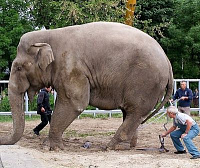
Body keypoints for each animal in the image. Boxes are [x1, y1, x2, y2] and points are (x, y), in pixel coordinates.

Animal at [0, 22, 173, 150]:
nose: (2, 141)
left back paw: (111, 147)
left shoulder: (72, 68)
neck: (49, 35)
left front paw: (50, 147)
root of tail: (167, 60)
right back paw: (128, 146)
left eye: (18, 68)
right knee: (130, 113)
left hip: (145, 83)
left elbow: (75, 103)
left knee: (135, 112)